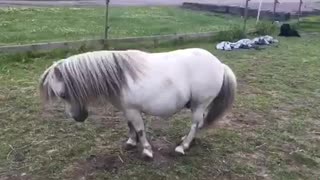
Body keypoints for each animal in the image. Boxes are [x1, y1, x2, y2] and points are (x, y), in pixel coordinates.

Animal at [38, 47, 236, 159]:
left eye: (63, 94)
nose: (79, 117)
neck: (119, 76)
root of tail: (220, 64)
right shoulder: (127, 110)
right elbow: (130, 126)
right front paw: (131, 142)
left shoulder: (133, 110)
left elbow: (140, 129)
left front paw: (147, 151)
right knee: (200, 123)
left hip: (200, 104)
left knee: (195, 124)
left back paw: (183, 147)